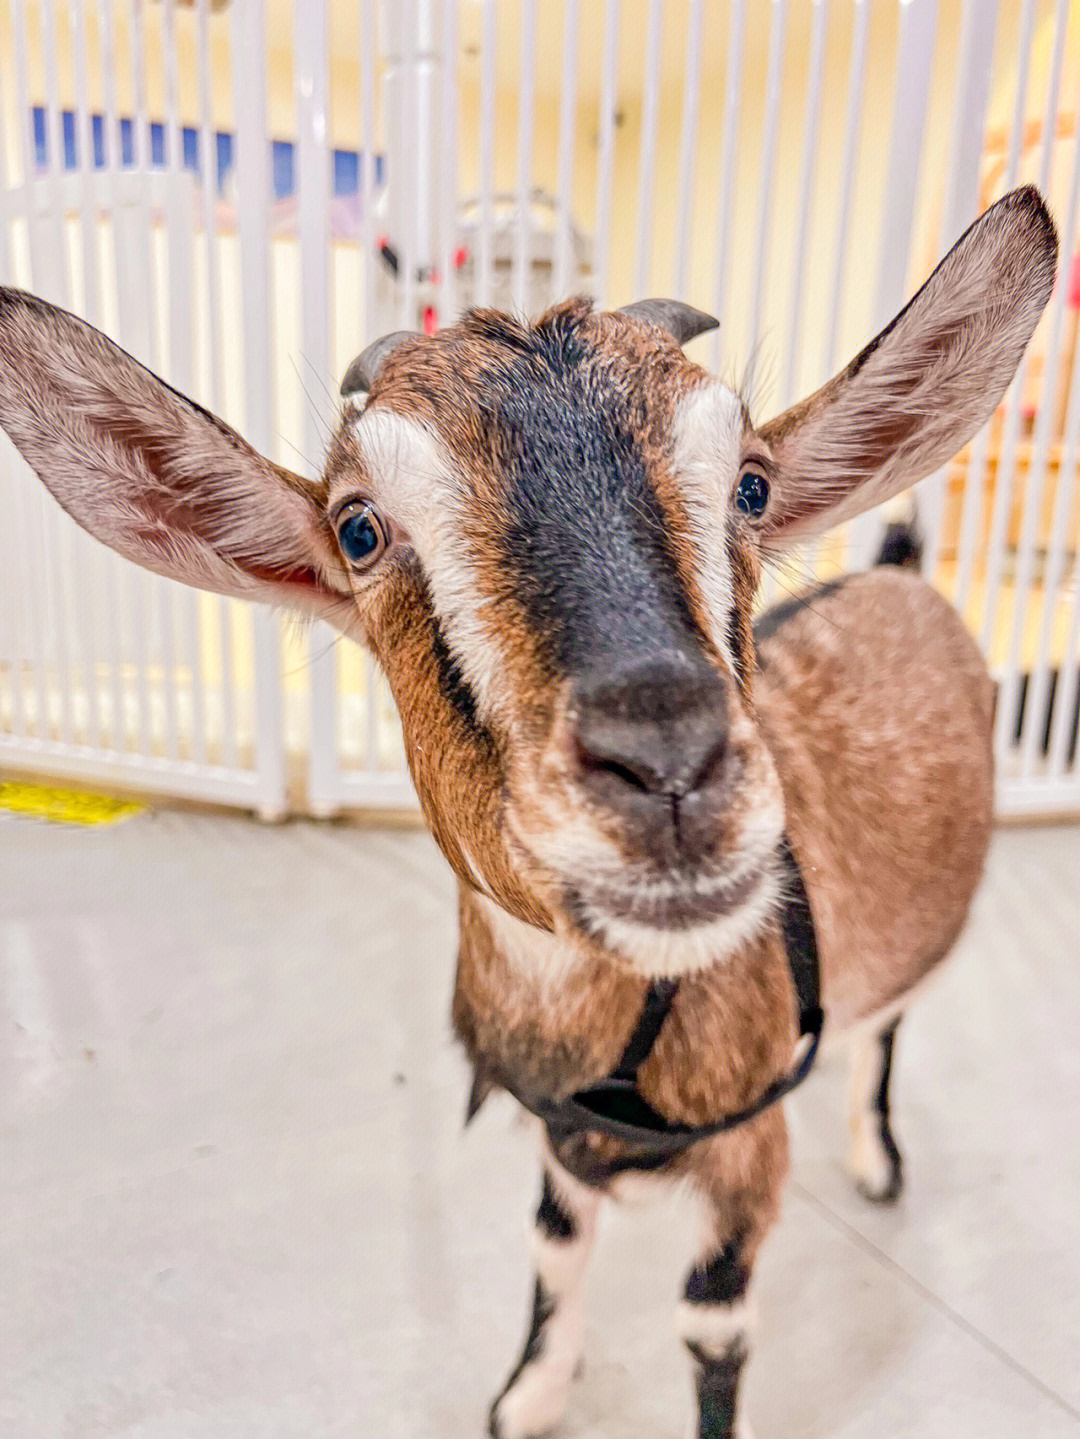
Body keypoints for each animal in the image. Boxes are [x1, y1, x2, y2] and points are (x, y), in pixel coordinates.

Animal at [0, 185, 1064, 1433]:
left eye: (751, 484)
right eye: (359, 529)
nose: (668, 763)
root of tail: (900, 570)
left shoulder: (749, 1156)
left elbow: (711, 1325)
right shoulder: (557, 1146)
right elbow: (554, 1246)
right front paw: (532, 1393)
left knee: (889, 1027)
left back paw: (881, 1157)